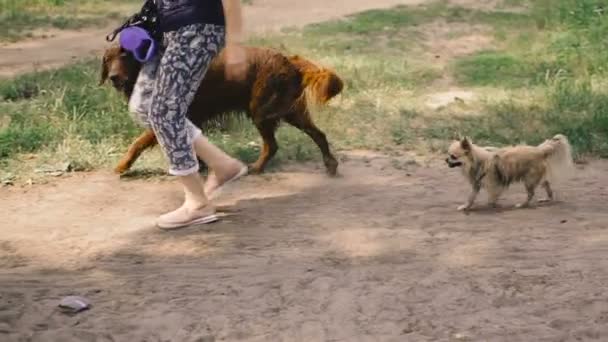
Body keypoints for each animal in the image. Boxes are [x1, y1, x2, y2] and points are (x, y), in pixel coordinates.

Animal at [102, 44, 344, 175]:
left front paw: (122, 166)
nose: (114, 77)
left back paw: (256, 167)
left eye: (125, 55)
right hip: (288, 111)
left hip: (262, 111)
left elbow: (137, 143)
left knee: (273, 145)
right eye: (108, 59)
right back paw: (330, 165)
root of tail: (290, 61)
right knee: (318, 135)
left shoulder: (168, 116)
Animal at [444, 134, 572, 210]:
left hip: (529, 180)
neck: (477, 161)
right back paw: (547, 199)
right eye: (448, 154)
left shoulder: (493, 184)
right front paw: (465, 206)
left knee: (531, 194)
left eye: (453, 156)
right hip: (536, 178)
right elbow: (471, 197)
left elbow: (492, 197)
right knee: (547, 186)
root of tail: (539, 150)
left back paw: (522, 204)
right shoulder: (476, 184)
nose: (446, 159)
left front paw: (493, 204)